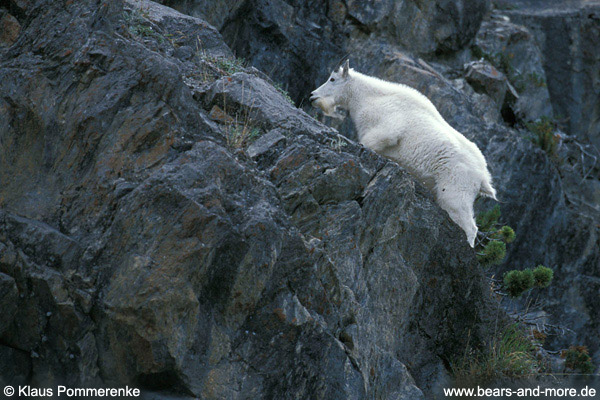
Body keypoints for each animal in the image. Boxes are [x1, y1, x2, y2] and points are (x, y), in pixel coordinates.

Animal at [310, 60, 496, 247]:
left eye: (332, 79)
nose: (312, 96)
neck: (366, 98)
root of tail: (483, 177)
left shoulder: (387, 131)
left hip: (456, 192)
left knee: (469, 227)